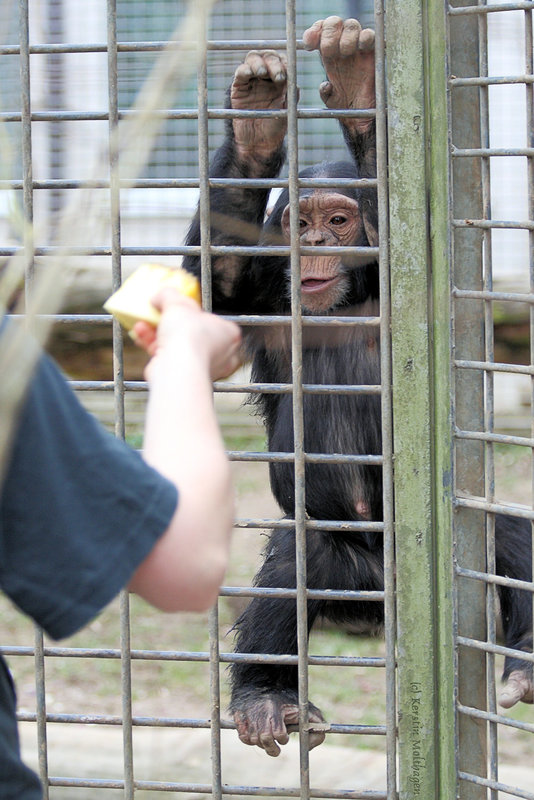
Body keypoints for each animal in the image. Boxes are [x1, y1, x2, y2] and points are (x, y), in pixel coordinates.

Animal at [182, 17, 532, 756]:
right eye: (300, 220)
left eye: (339, 220)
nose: (315, 240)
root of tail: (376, 615)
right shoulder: (265, 294)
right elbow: (212, 282)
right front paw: (255, 125)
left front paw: (358, 85)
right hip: (351, 583)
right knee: (298, 557)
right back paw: (267, 696)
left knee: (505, 534)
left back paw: (526, 659)